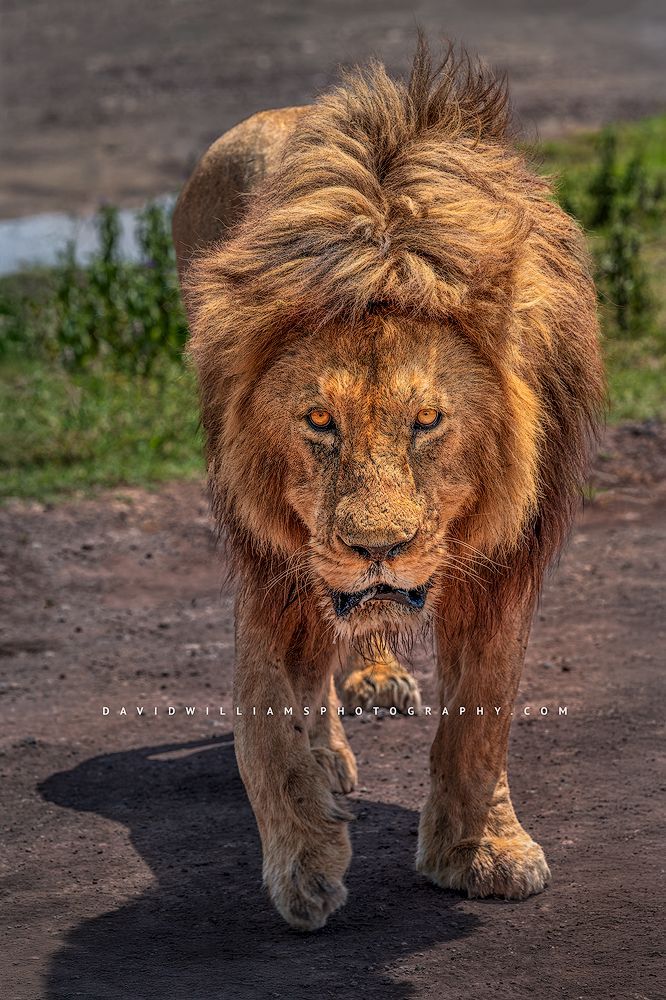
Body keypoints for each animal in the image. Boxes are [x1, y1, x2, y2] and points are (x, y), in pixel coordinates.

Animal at [173, 41, 605, 931]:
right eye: (318, 420)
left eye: (427, 420)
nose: (379, 545)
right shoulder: (276, 557)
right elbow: (263, 716)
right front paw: (304, 857)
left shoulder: (506, 561)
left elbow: (483, 715)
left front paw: (479, 853)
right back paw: (332, 756)